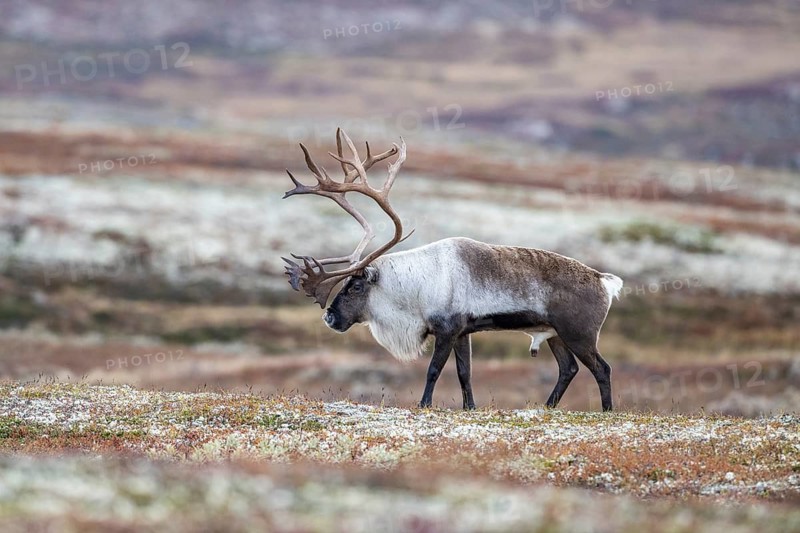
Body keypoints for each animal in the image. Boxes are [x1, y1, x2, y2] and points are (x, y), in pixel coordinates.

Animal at [282, 129, 623, 411]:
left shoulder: (446, 330)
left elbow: (434, 370)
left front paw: (424, 404)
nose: (329, 317)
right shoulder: (463, 332)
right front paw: (469, 407)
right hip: (554, 334)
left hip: (579, 333)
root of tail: (604, 280)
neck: (414, 287)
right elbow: (464, 373)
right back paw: (547, 407)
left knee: (601, 368)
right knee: (569, 368)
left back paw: (606, 411)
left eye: (355, 286)